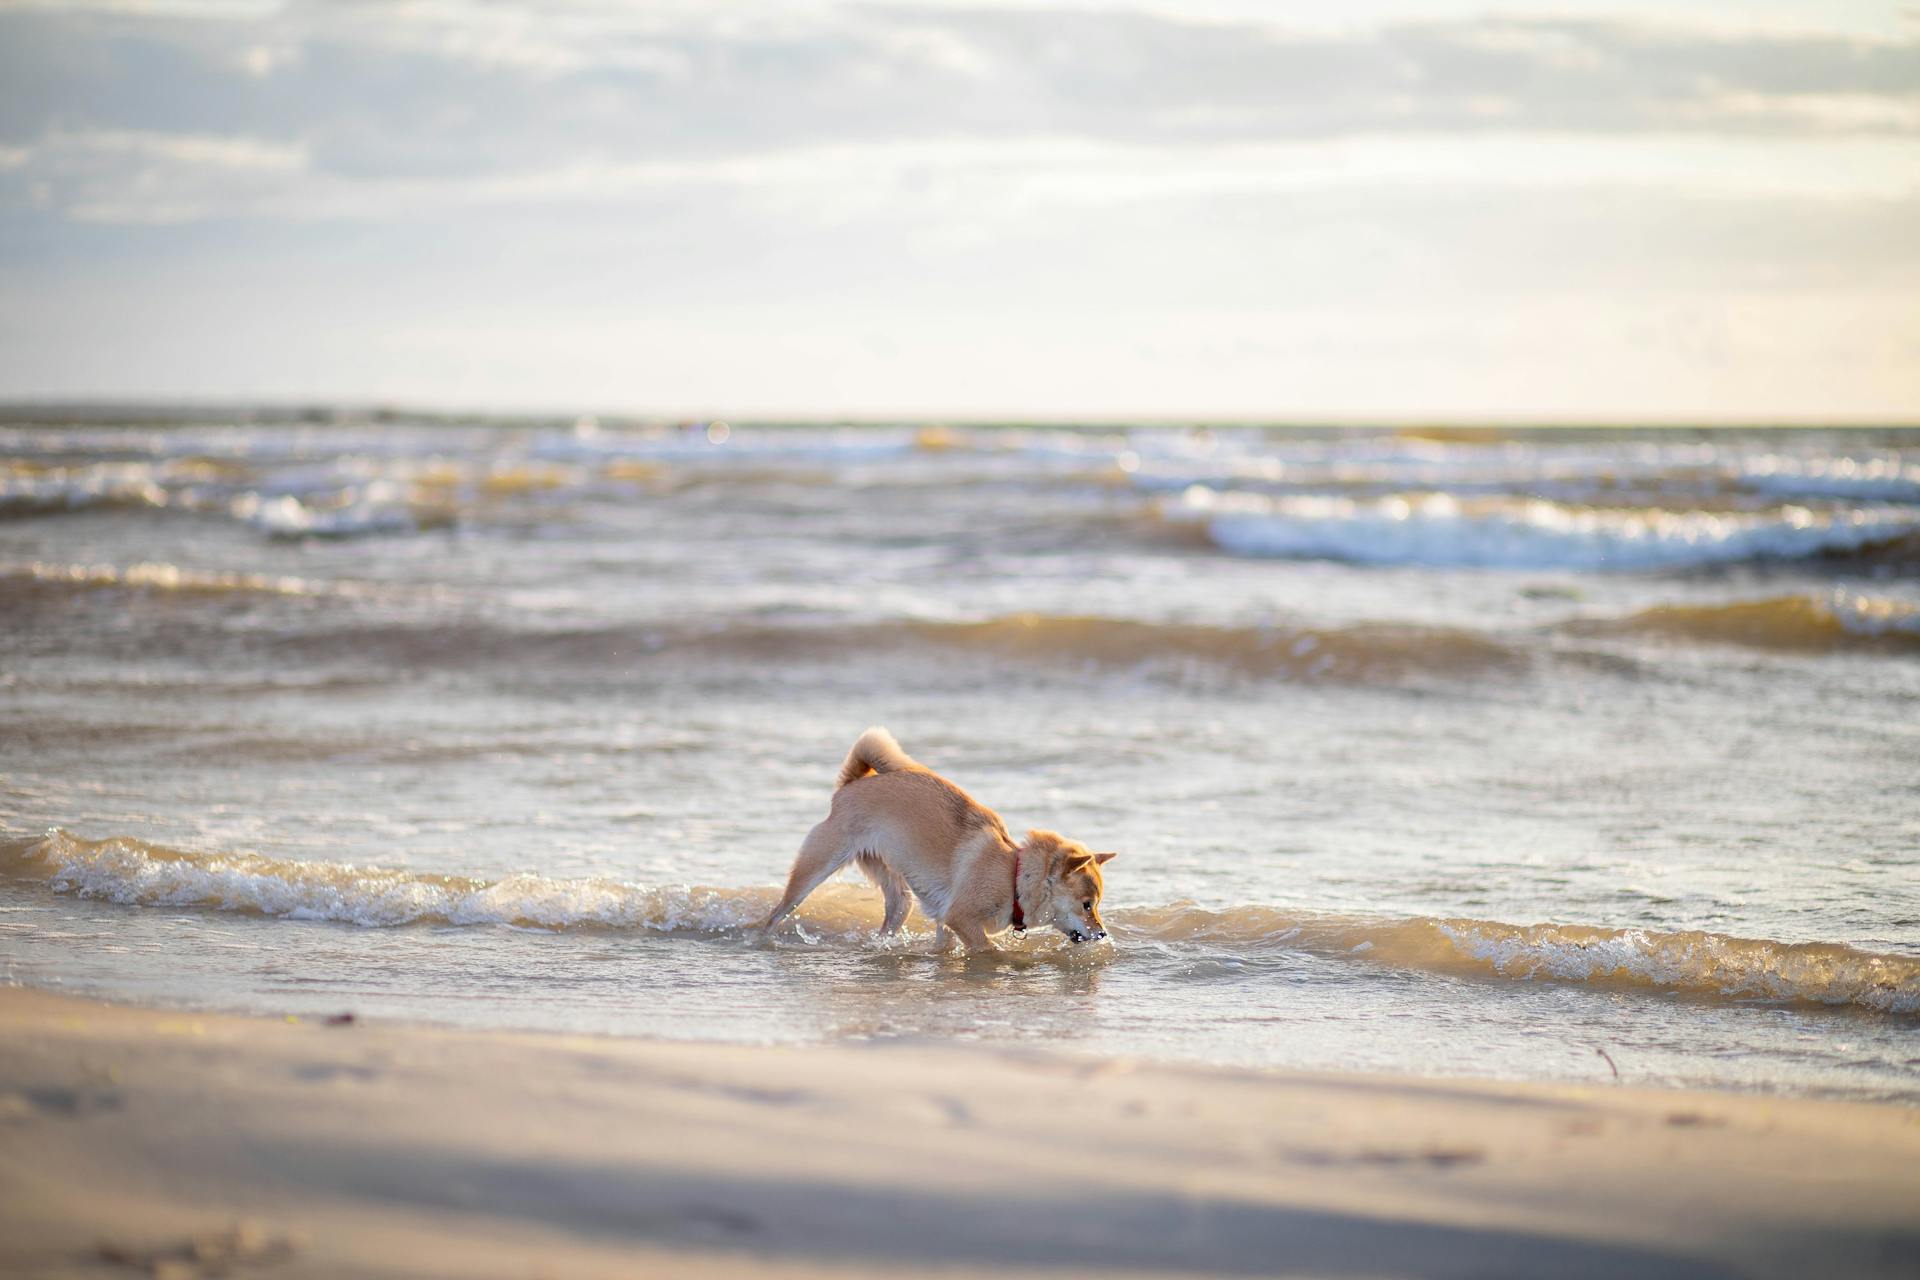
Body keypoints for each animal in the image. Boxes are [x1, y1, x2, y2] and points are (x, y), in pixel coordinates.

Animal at [764, 729, 1121, 951]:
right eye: (1087, 904)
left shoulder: (945, 923)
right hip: (814, 871)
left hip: (898, 894)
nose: (1102, 932)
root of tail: (852, 784)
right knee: (778, 912)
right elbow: (989, 948)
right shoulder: (960, 918)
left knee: (893, 914)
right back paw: (762, 937)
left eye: (1097, 905)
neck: (1014, 874)